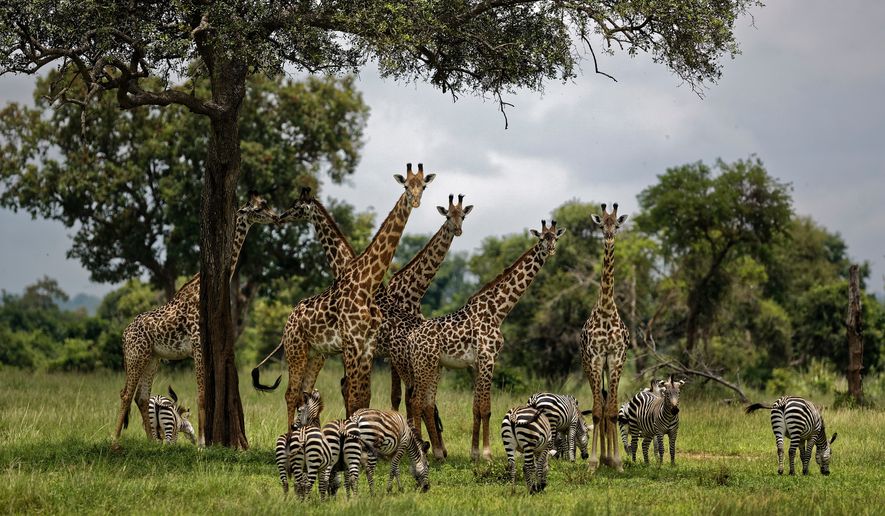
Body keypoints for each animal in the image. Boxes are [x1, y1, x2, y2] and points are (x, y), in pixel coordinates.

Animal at [112, 193, 278, 447]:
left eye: (266, 204)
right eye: (259, 208)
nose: (277, 217)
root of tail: (124, 334)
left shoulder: (201, 349)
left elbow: (203, 394)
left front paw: (202, 441)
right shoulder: (198, 347)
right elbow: (201, 394)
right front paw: (202, 443)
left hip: (153, 358)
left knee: (141, 396)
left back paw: (152, 442)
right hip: (135, 355)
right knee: (126, 393)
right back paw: (114, 440)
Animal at [252, 163, 434, 424]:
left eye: (424, 186)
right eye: (406, 185)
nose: (281, 216)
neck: (365, 281)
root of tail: (289, 320)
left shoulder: (364, 346)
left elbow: (360, 397)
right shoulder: (351, 344)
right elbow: (353, 395)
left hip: (322, 353)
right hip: (299, 348)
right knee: (292, 393)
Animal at [401, 220, 565, 460]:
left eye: (555, 237)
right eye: (542, 238)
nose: (551, 249)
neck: (498, 311)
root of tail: (411, 339)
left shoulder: (477, 364)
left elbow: (476, 408)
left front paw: (475, 452)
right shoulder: (489, 358)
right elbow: (486, 408)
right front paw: (487, 454)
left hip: (434, 367)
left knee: (427, 405)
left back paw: (438, 453)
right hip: (424, 365)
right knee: (416, 402)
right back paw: (422, 449)